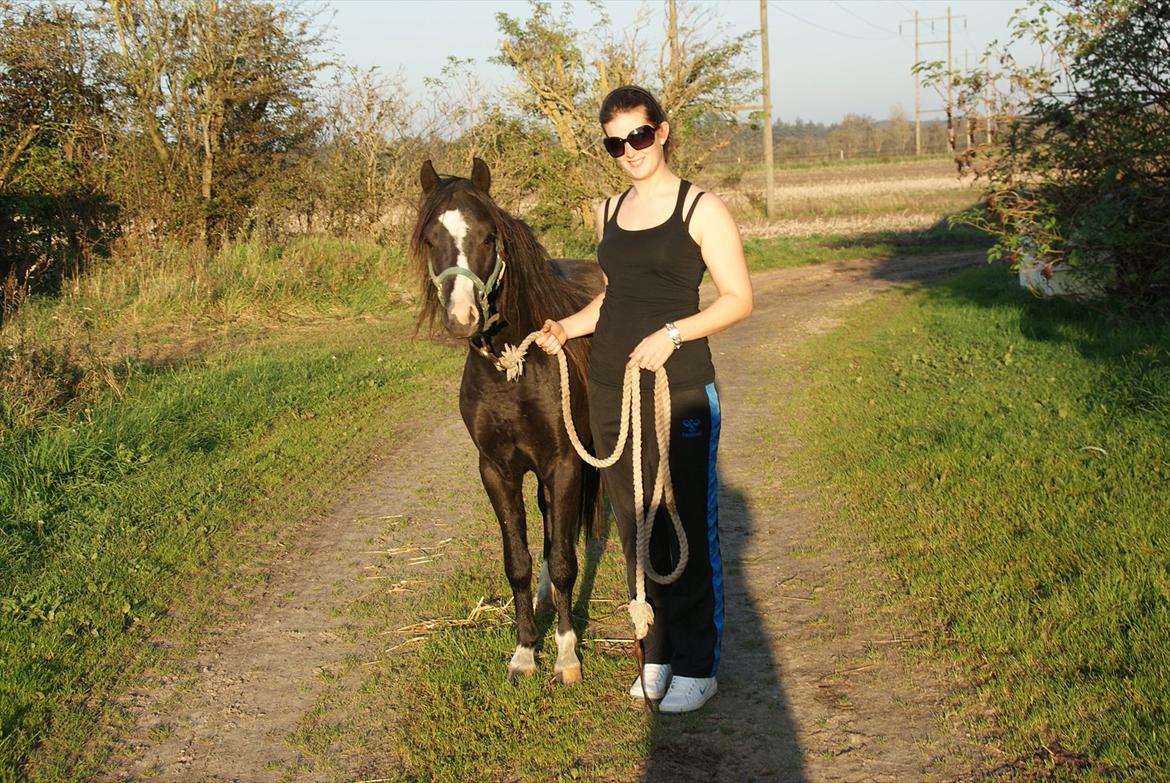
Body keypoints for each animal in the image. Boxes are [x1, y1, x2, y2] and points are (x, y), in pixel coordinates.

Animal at [410, 157, 606, 683]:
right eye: (430, 239)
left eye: (487, 236)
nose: (462, 317)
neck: (513, 368)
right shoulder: (498, 470)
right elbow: (518, 560)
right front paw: (524, 651)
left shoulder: (564, 465)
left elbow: (565, 562)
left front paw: (566, 655)